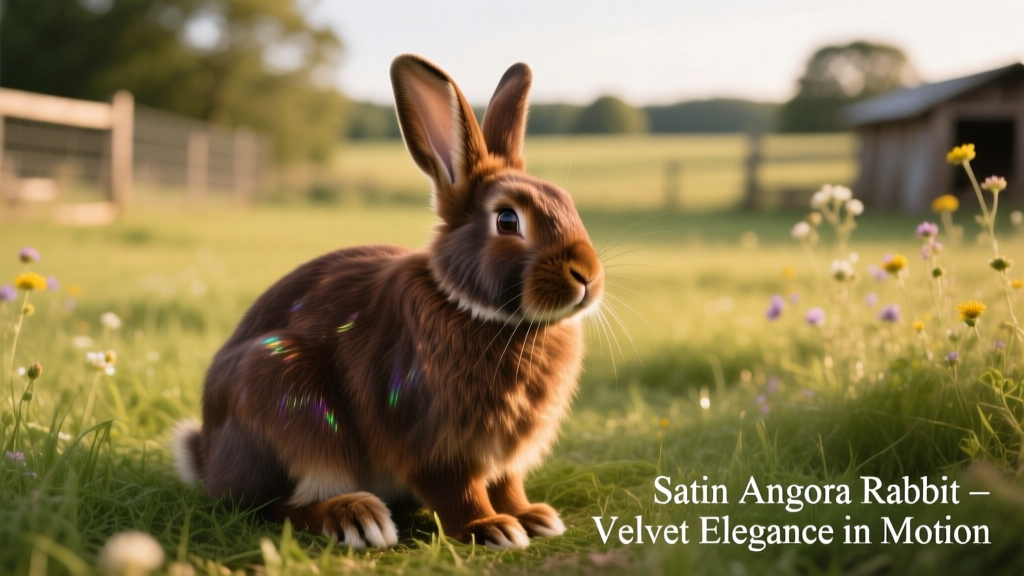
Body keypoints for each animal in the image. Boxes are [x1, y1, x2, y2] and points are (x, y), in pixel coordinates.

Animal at [172, 54, 604, 550]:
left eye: (567, 203)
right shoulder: (435, 444)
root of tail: (208, 460)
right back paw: (355, 517)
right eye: (508, 220)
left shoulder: (504, 458)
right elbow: (460, 491)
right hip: (285, 393)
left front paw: (533, 517)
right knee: (273, 507)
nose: (589, 275)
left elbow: (507, 485)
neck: (472, 310)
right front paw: (491, 528)